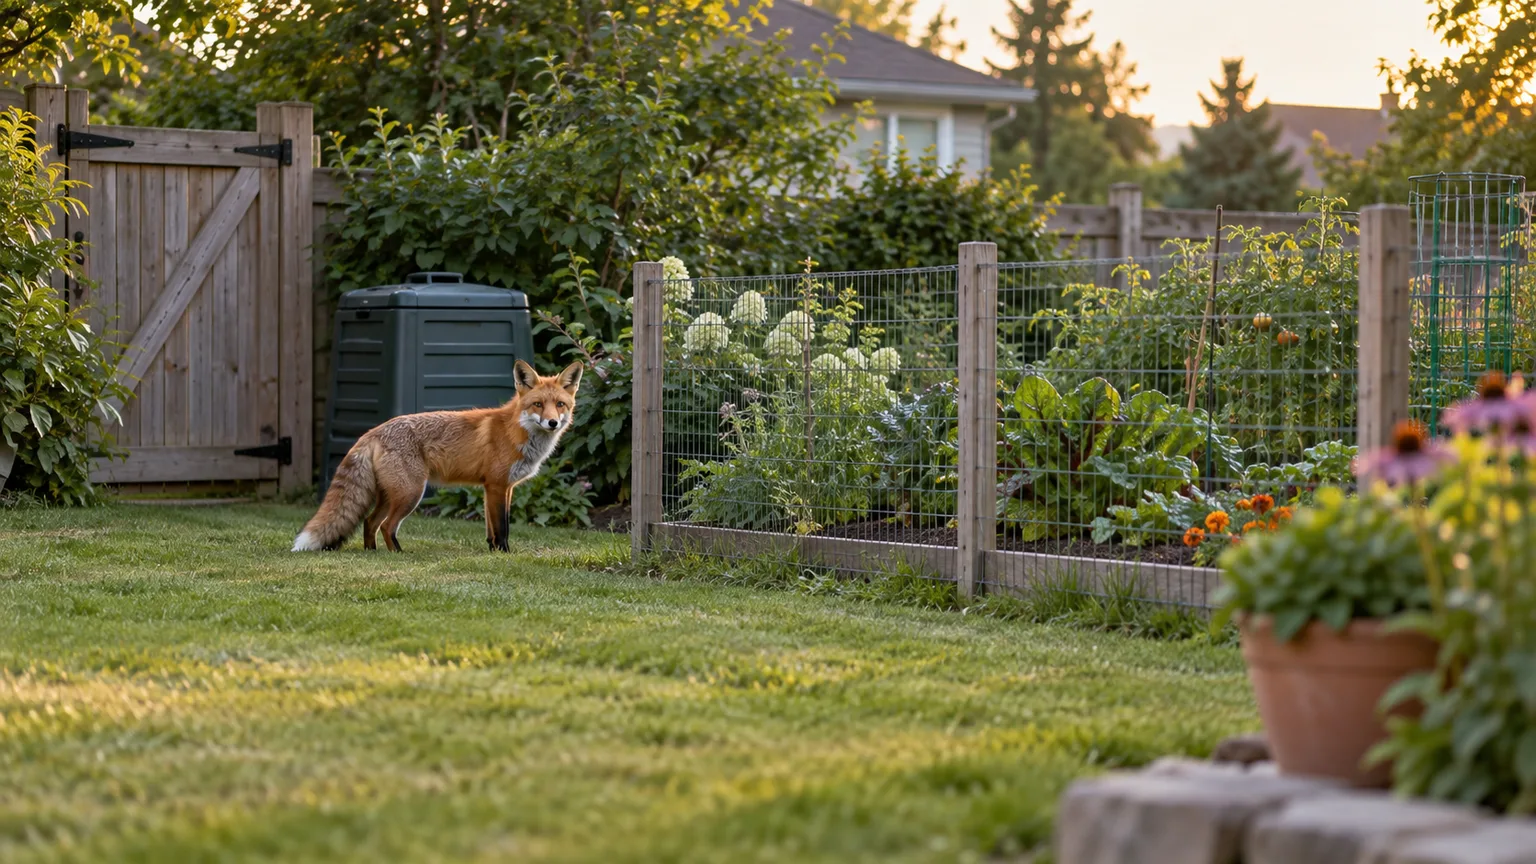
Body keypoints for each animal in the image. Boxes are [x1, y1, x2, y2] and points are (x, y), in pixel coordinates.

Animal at [292, 359, 583, 553]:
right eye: (538, 405)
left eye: (560, 405)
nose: (552, 423)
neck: (515, 431)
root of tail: (374, 431)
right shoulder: (497, 486)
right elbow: (502, 528)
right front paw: (505, 555)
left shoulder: (500, 488)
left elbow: (492, 529)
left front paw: (492, 553)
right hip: (410, 493)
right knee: (386, 526)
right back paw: (398, 554)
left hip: (390, 494)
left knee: (369, 522)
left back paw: (371, 553)